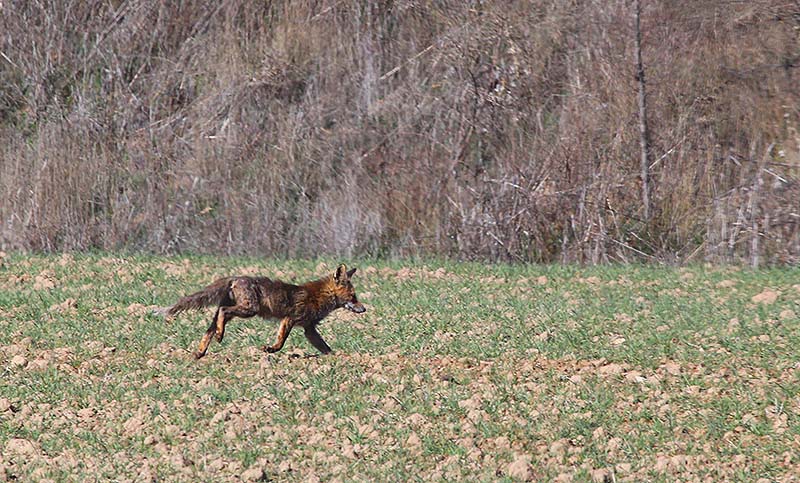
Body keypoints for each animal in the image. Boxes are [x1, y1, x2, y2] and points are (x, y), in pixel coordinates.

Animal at [155, 264, 366, 360]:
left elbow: (326, 348)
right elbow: (281, 342)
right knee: (223, 312)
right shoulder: (290, 319)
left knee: (210, 329)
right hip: (249, 309)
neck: (321, 296)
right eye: (353, 296)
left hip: (240, 310)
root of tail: (236, 277)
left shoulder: (309, 329)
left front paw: (337, 357)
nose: (364, 309)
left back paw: (200, 352)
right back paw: (219, 336)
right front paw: (270, 349)